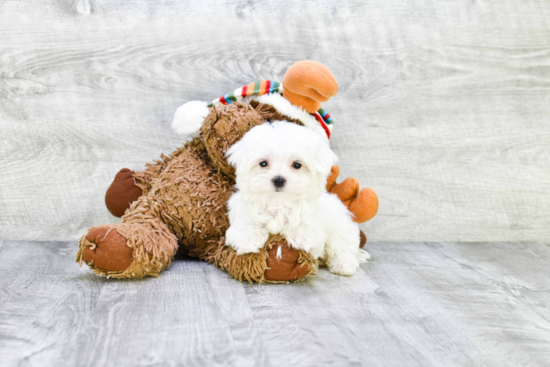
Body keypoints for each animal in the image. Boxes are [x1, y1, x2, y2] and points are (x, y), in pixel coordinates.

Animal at [224, 121, 370, 276]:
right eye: (263, 163)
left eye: (297, 165)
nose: (278, 180)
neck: (278, 201)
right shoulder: (244, 212)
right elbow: (245, 227)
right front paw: (251, 239)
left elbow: (305, 230)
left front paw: (300, 237)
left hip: (340, 226)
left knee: (343, 246)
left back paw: (343, 264)